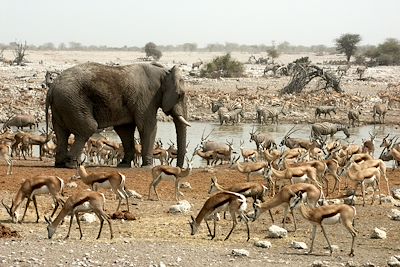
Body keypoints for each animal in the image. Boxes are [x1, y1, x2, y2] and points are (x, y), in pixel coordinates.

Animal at [46, 61, 190, 169]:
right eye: (180, 95)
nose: (179, 168)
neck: (164, 71)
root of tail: (52, 88)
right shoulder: (146, 98)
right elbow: (148, 126)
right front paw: (147, 167)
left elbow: (125, 129)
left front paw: (124, 165)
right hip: (73, 102)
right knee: (88, 128)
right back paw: (72, 165)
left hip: (63, 105)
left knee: (61, 132)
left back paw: (60, 164)